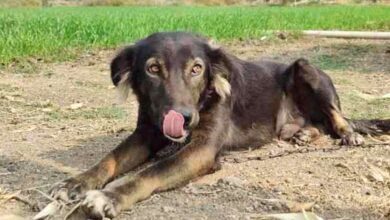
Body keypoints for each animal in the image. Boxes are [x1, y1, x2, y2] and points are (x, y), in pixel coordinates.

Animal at [49, 31, 390, 219]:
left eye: (197, 68)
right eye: (153, 68)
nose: (184, 117)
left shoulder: (201, 149)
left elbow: (151, 172)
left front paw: (110, 196)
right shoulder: (146, 133)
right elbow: (109, 159)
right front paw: (76, 182)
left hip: (307, 69)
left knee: (335, 115)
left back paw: (348, 134)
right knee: (317, 122)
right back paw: (304, 133)